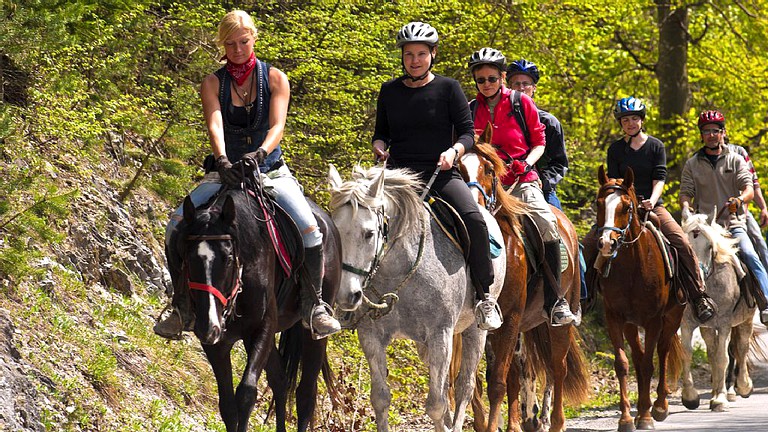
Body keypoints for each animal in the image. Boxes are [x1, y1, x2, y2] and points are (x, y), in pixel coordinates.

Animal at [170, 170, 340, 430]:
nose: (209, 326)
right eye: (187, 259)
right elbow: (228, 405)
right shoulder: (217, 342)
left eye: (229, 258)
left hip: (312, 333)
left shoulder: (262, 327)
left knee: (305, 394)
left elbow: (247, 393)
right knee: (280, 380)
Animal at [328, 164, 508, 430]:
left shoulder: (439, 335)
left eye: (369, 234)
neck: (400, 270)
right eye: (335, 230)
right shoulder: (371, 336)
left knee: (464, 387)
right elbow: (380, 398)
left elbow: (436, 405)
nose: (346, 294)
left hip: (474, 332)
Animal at [588, 166, 684, 432]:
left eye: (626, 207)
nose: (606, 244)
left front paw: (647, 417)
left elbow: (651, 363)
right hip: (632, 325)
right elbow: (623, 364)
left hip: (672, 317)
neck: (632, 267)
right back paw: (644, 407)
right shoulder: (615, 318)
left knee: (661, 352)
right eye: (599, 203)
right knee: (639, 358)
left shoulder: (653, 320)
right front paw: (626, 419)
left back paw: (659, 406)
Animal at [680, 209, 752, 412]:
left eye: (710, 246)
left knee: (741, 348)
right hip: (707, 328)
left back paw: (742, 386)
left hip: (746, 320)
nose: (696, 275)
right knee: (713, 353)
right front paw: (690, 397)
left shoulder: (725, 324)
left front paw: (720, 399)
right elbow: (687, 353)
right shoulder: (687, 324)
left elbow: (723, 358)